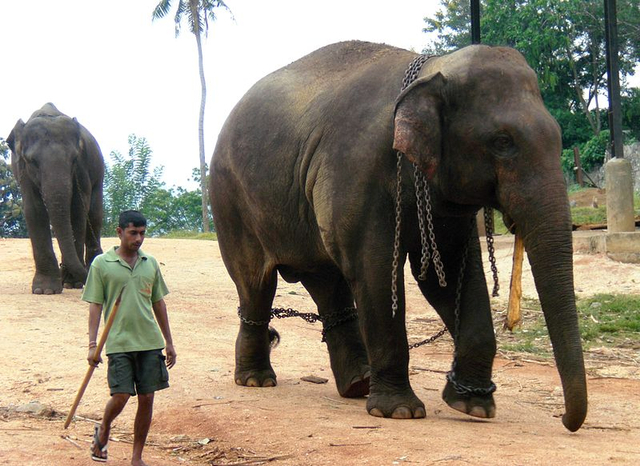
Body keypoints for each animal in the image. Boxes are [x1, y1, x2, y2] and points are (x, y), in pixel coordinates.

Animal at [6, 103, 104, 294]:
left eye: (74, 159)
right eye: (32, 161)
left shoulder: (81, 169)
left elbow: (78, 210)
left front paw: (72, 284)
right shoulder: (23, 173)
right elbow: (34, 210)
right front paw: (44, 290)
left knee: (95, 216)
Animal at [209, 41, 584, 432]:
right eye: (502, 141)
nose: (566, 421)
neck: (433, 68)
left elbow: (447, 277)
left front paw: (473, 407)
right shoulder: (356, 170)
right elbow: (373, 269)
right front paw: (400, 411)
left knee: (327, 280)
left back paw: (358, 384)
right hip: (229, 200)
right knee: (256, 283)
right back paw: (257, 380)